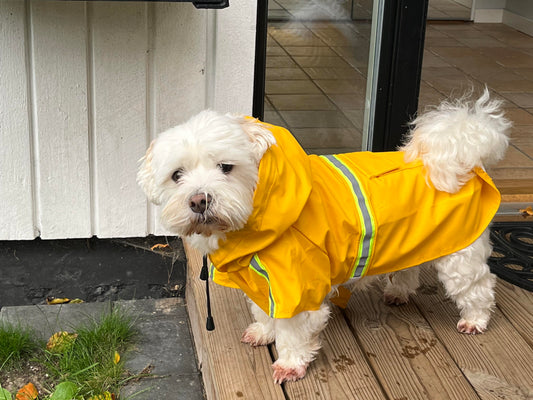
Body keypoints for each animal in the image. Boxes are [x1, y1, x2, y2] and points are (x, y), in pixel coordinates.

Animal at [137, 89, 512, 382]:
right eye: (177, 175)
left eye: (226, 167)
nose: (199, 200)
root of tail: (463, 157)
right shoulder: (264, 281)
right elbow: (264, 313)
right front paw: (263, 333)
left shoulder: (299, 288)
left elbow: (292, 331)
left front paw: (289, 364)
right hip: (417, 240)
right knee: (410, 268)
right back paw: (398, 293)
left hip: (461, 256)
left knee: (479, 286)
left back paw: (475, 320)